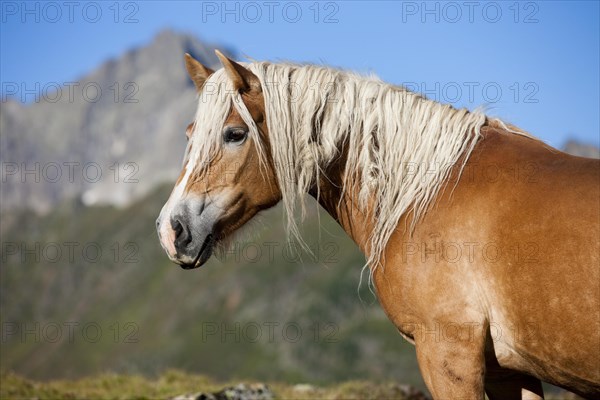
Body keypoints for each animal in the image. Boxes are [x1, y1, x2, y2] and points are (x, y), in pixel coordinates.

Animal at [158, 51, 600, 398]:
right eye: (190, 134)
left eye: (235, 134)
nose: (170, 229)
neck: (426, 193)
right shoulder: (509, 371)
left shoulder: (448, 353)